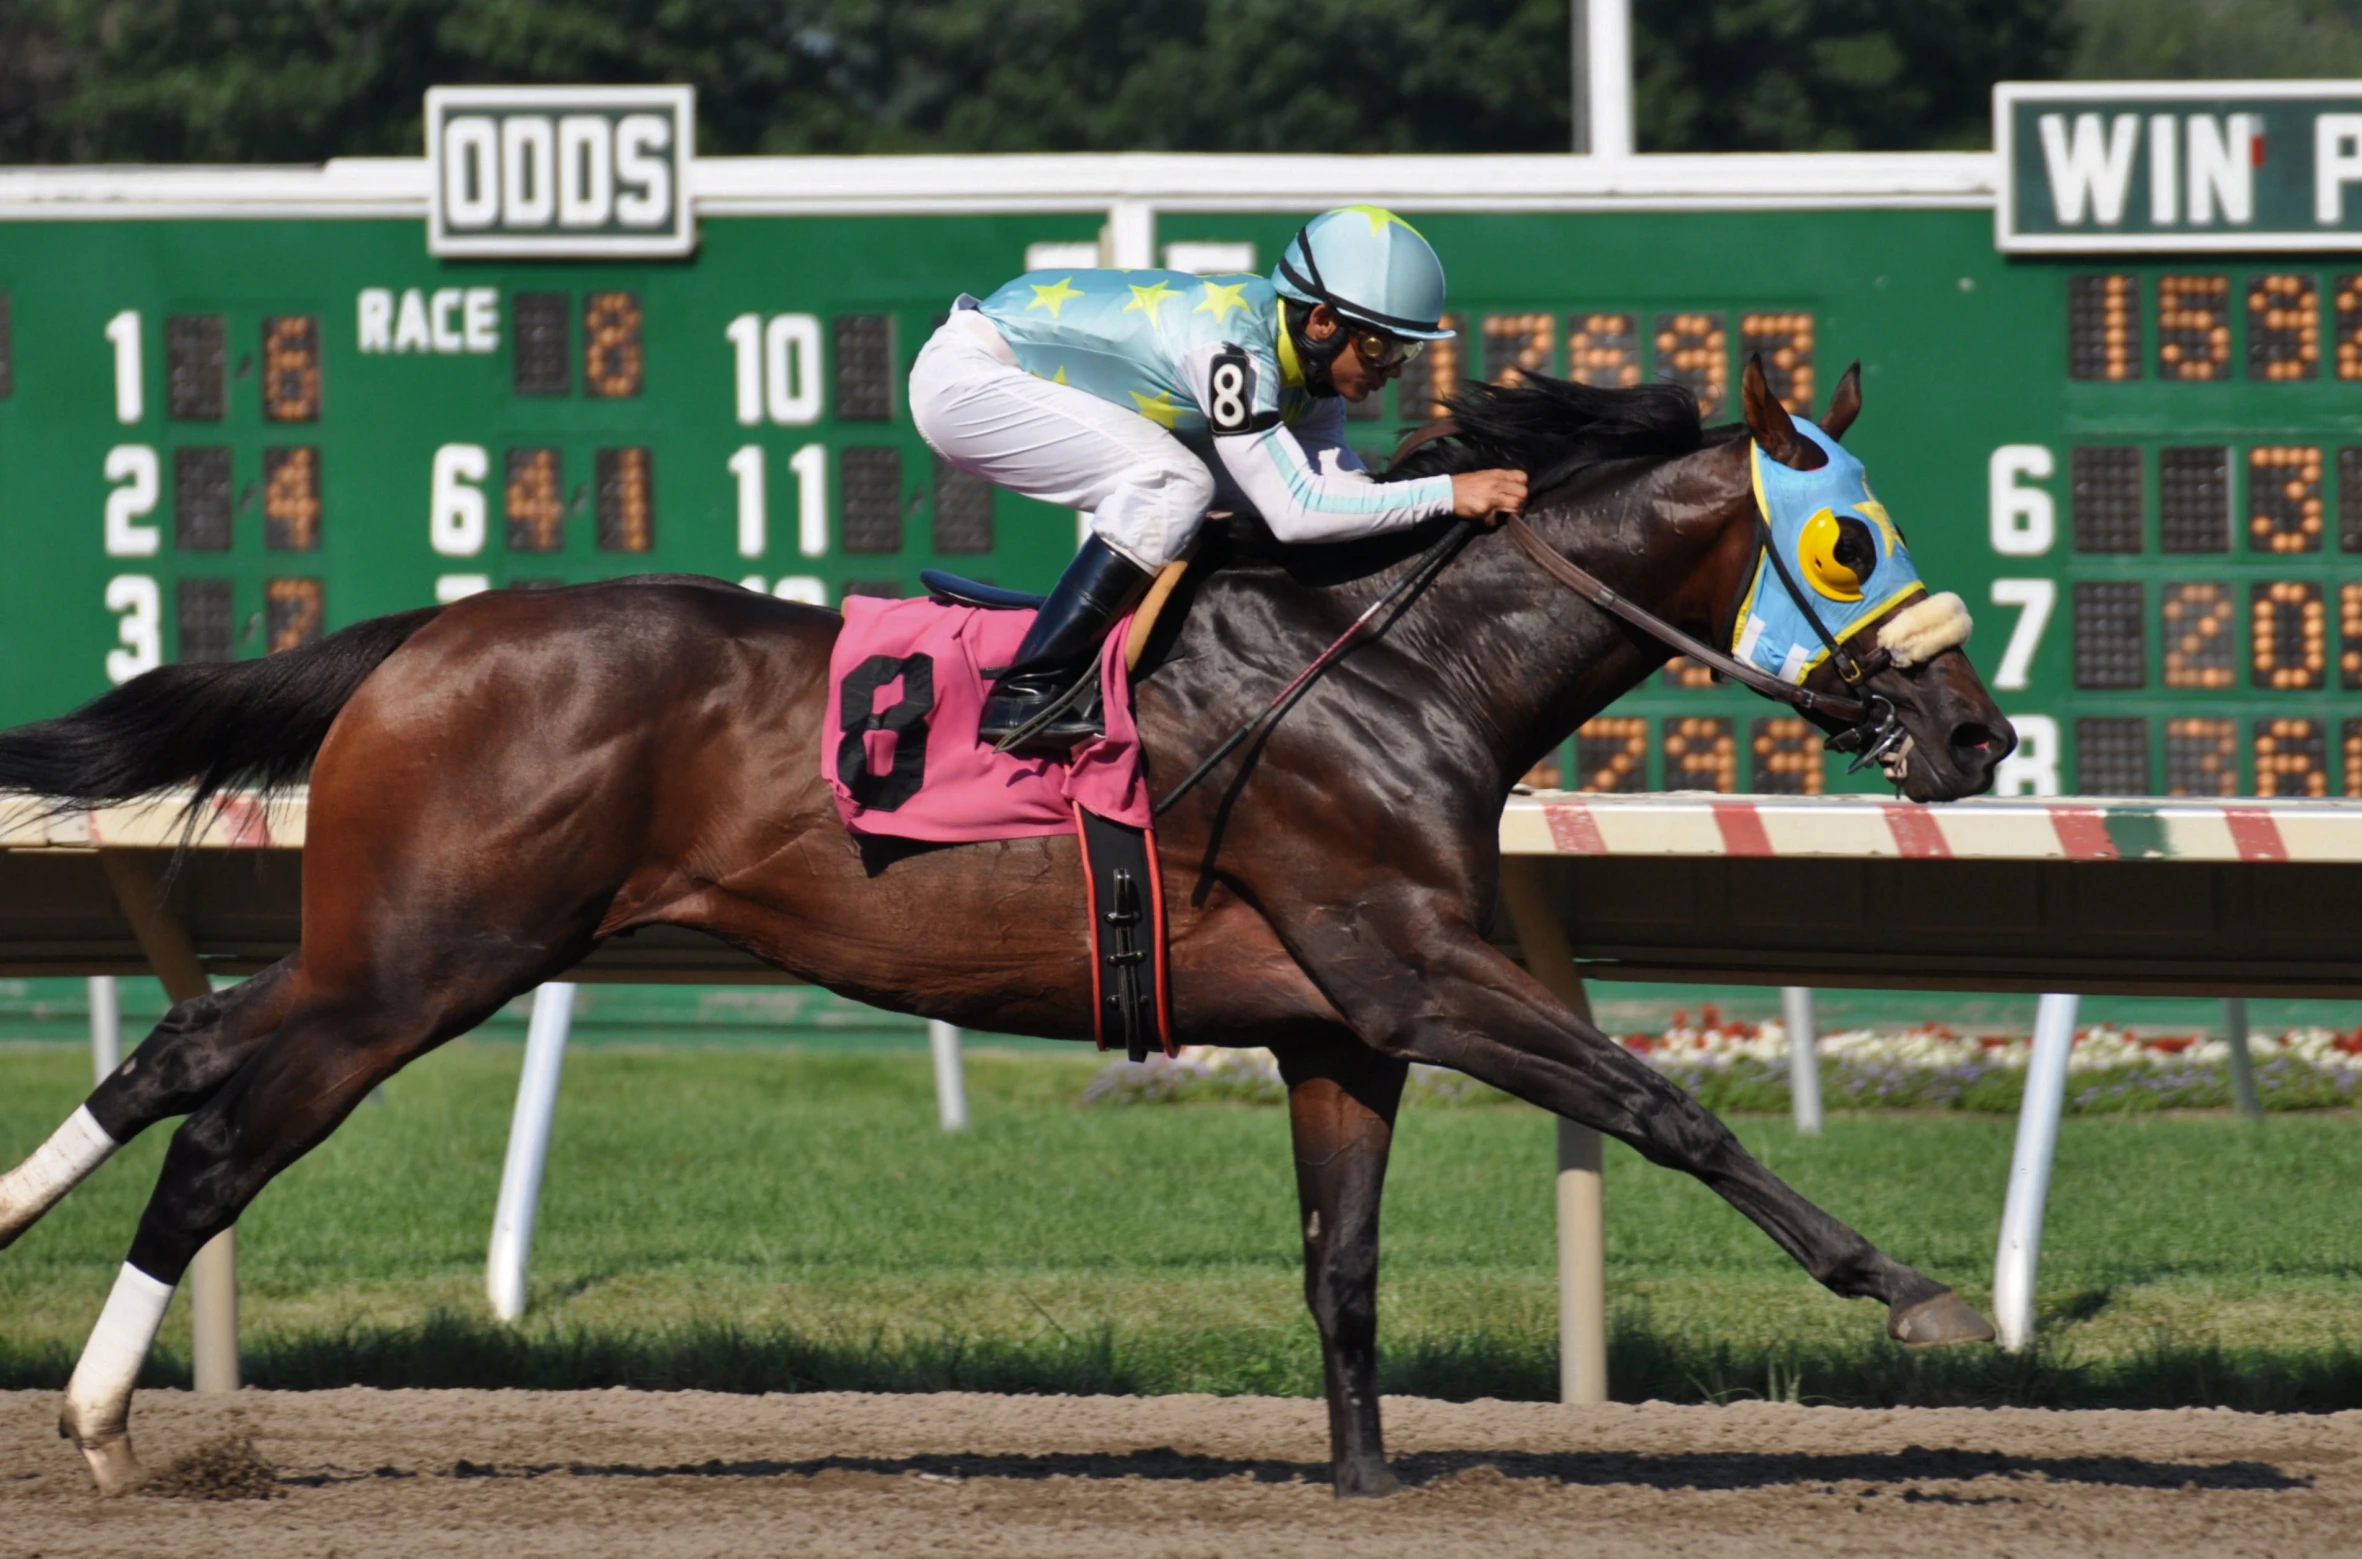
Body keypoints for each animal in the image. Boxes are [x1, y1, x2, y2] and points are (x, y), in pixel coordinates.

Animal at [0, 356, 2012, 1502]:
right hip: (425, 958)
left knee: (175, 1047)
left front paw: (1366, 1477)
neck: (1394, 670)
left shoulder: (1337, 1024)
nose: (1978, 736)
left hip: (396, 943)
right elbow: (1664, 1105)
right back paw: (101, 1420)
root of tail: (427, 632)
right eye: (1847, 543)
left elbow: (1342, 1262)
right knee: (224, 1137)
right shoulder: (1422, 972)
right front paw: (1913, 1289)